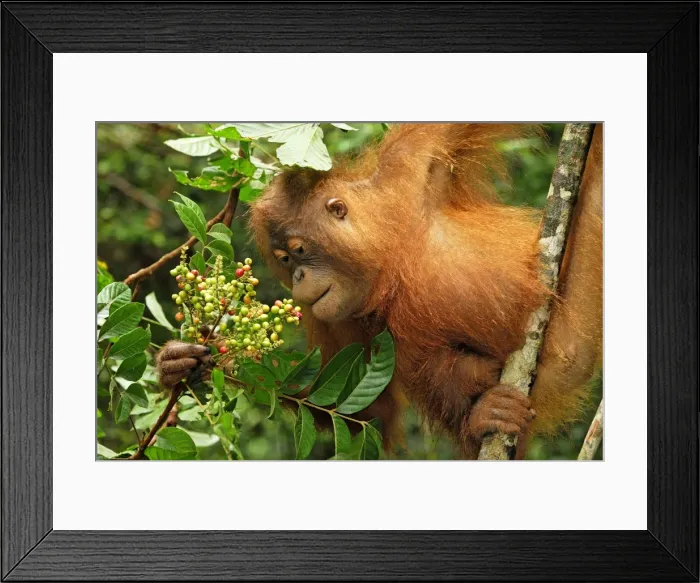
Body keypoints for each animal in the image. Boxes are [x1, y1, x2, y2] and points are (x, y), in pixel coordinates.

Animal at [158, 123, 603, 459]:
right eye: (283, 259)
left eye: (299, 250)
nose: (298, 277)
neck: (389, 252)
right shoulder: (333, 313)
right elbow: (368, 409)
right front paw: (184, 361)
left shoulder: (416, 156)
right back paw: (484, 418)